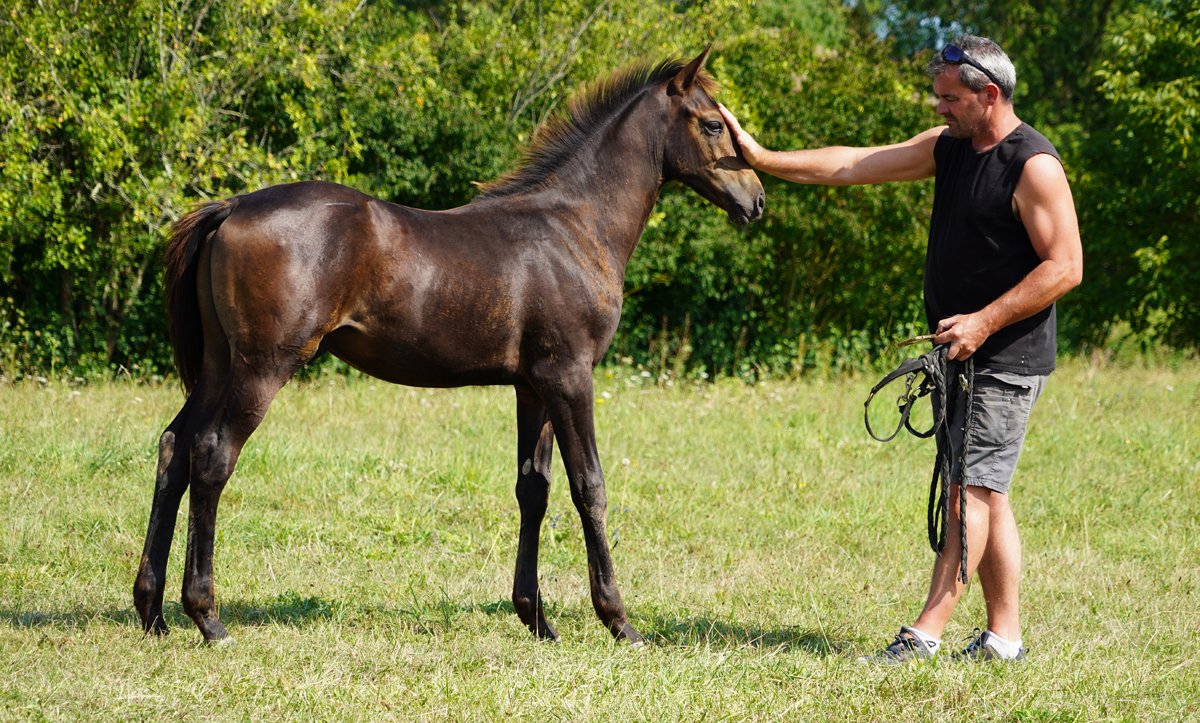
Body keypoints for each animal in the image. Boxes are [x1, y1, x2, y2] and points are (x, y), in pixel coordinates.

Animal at [133, 47, 764, 646]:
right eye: (713, 124)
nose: (756, 201)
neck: (575, 225)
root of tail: (231, 207)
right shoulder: (570, 376)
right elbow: (590, 486)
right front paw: (619, 621)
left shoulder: (533, 386)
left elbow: (533, 489)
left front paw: (537, 618)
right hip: (261, 368)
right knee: (212, 455)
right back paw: (207, 617)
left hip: (220, 366)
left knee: (174, 447)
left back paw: (152, 610)